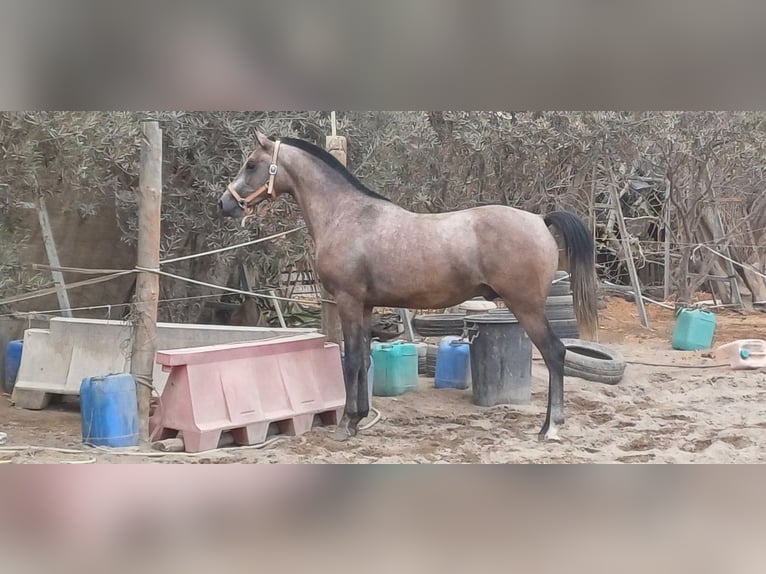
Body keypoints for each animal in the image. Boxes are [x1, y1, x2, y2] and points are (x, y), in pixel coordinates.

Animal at [219, 133, 604, 444]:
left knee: (555, 353)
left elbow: (351, 359)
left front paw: (345, 424)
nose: (224, 203)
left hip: (527, 307)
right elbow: (363, 359)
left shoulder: (347, 300)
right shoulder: (365, 305)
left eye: (251, 164)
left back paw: (550, 428)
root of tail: (539, 220)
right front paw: (358, 420)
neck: (346, 215)